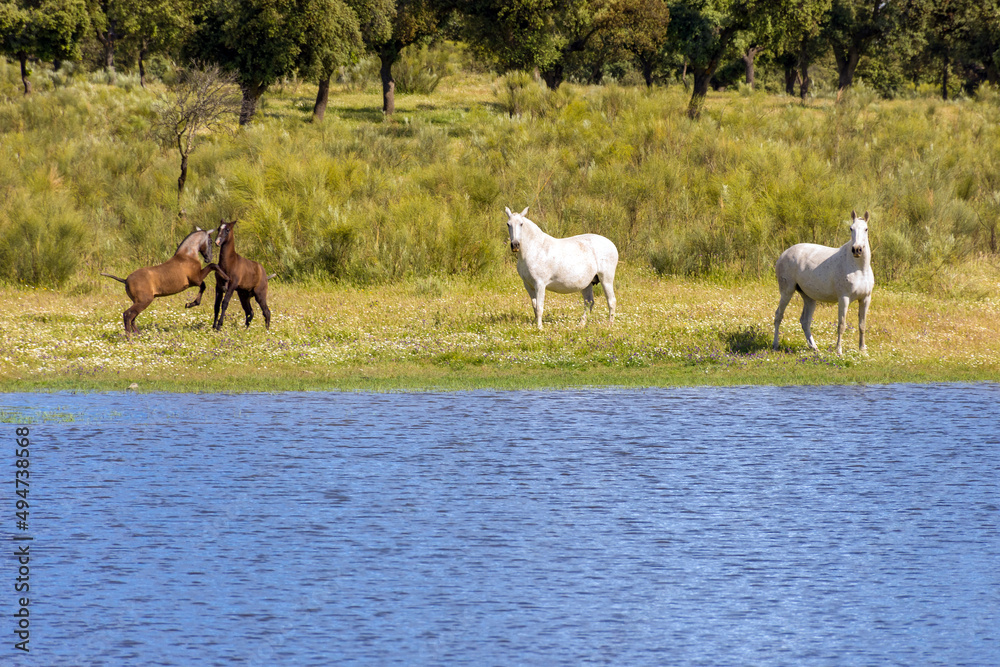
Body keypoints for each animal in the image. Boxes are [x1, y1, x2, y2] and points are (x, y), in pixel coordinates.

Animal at [772, 210, 874, 356]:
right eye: (851, 228)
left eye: (866, 229)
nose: (857, 249)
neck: (859, 269)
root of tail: (784, 254)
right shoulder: (844, 298)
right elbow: (841, 325)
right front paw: (839, 351)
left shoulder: (865, 299)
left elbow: (862, 325)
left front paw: (862, 349)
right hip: (787, 292)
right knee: (778, 316)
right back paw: (775, 345)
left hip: (809, 298)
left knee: (805, 321)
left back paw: (814, 347)